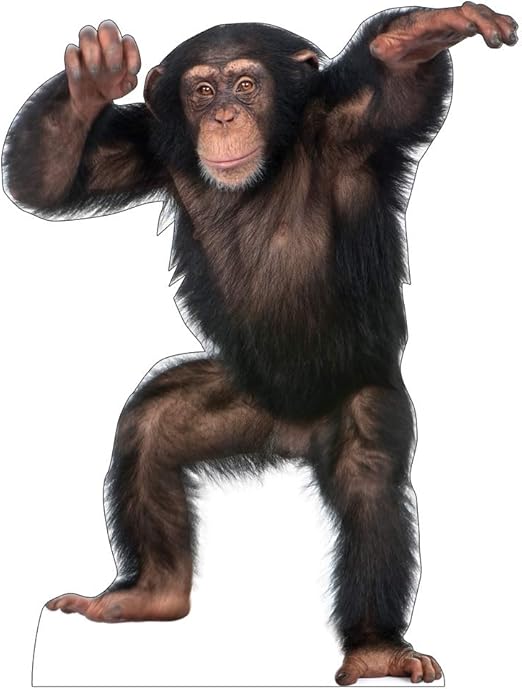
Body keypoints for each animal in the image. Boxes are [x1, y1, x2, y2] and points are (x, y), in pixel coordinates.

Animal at [2, 3, 518, 684]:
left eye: (246, 85)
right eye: (201, 90)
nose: (223, 114)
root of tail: (292, 438)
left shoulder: (356, 126)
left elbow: (397, 89)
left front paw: (419, 35)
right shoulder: (149, 149)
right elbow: (48, 183)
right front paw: (93, 80)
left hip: (355, 397)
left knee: (370, 474)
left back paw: (376, 646)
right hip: (238, 402)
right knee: (149, 427)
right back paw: (151, 593)